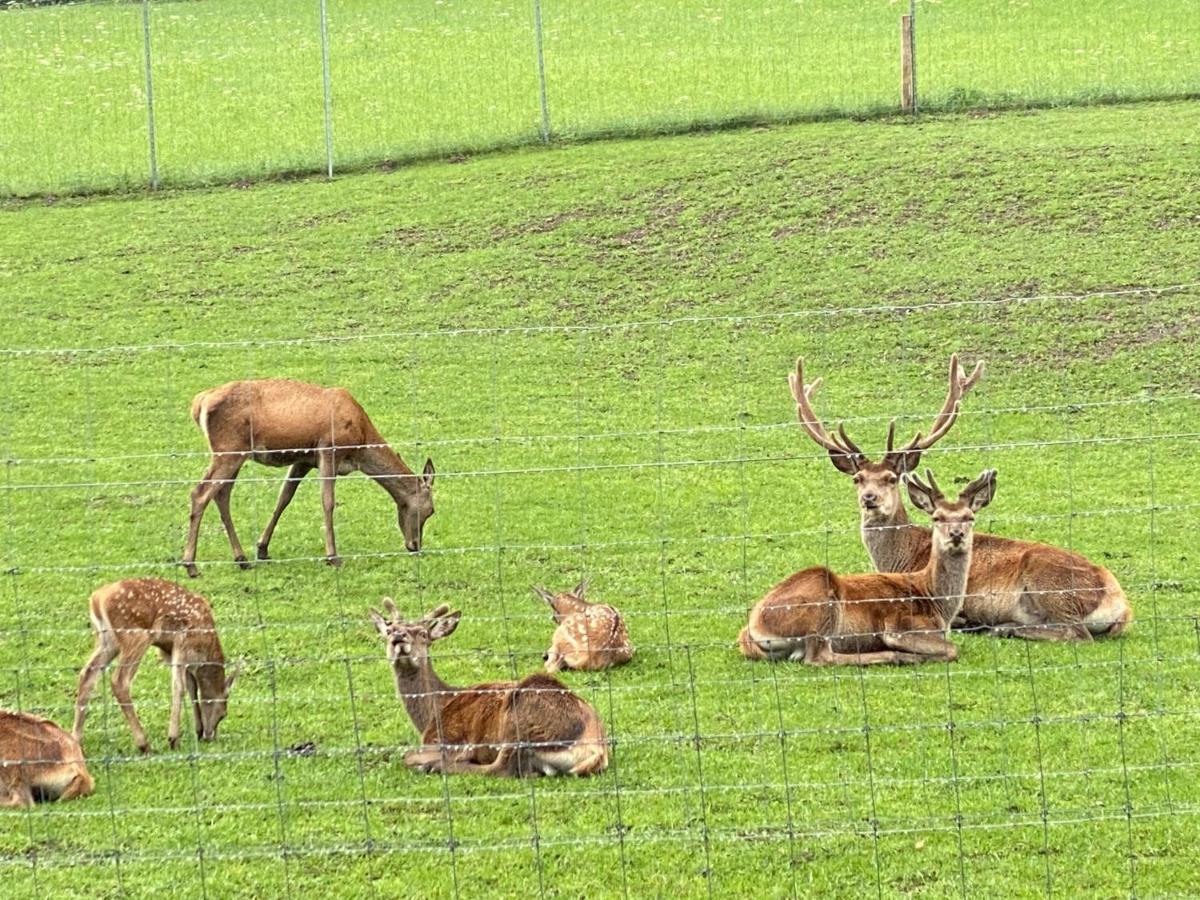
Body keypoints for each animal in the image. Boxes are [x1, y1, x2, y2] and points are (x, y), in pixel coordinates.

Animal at [73, 578, 238, 753]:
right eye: (223, 714)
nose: (209, 736)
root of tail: (96, 599)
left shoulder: (168, 651)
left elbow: (191, 687)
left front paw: (197, 730)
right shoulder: (182, 641)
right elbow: (179, 687)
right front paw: (173, 738)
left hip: (107, 641)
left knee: (87, 674)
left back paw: (76, 739)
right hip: (136, 635)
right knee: (119, 681)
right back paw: (143, 744)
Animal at [182, 379, 436, 578]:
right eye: (431, 510)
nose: (415, 545)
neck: (361, 442)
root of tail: (199, 403)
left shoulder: (303, 460)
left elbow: (284, 498)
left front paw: (262, 549)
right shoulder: (329, 450)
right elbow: (328, 502)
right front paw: (333, 556)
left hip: (234, 454)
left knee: (222, 494)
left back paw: (242, 559)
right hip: (228, 450)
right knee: (200, 493)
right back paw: (191, 565)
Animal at [364, 602, 609, 777]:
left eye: (423, 634)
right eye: (389, 630)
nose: (398, 637)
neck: (432, 712)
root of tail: (596, 748)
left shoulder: (446, 737)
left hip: (519, 716)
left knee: (500, 768)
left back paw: (438, 764)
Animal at [739, 468, 993, 667]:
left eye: (970, 517)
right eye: (937, 517)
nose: (957, 534)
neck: (937, 603)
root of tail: (752, 629)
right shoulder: (900, 625)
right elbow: (952, 649)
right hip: (821, 608)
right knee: (819, 656)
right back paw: (897, 656)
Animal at [792, 355, 1128, 643]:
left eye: (891, 478)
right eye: (857, 478)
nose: (870, 498)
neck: (904, 557)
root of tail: (1120, 603)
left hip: (1050, 584)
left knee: (1075, 632)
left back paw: (1000, 627)